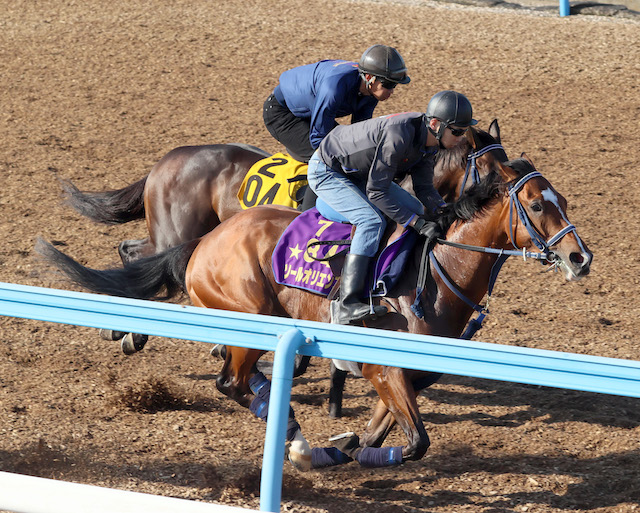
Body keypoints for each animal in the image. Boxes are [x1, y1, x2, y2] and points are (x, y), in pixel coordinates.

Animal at [37, 155, 592, 468]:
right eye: (536, 205)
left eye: (563, 200)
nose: (579, 257)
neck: (434, 275)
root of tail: (203, 243)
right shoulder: (384, 367)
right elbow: (416, 441)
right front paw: (341, 448)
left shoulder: (410, 374)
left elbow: (383, 428)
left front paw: (349, 442)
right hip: (251, 311)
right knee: (232, 383)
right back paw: (300, 445)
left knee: (243, 380)